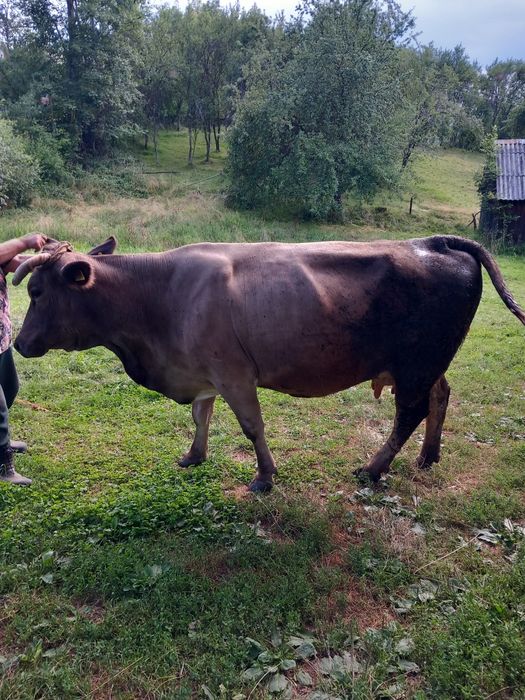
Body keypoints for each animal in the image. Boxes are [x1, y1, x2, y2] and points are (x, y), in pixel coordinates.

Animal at [12, 234, 525, 492]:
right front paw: (194, 455)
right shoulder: (204, 372)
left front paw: (264, 476)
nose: (18, 344)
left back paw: (374, 468)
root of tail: (436, 241)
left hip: (415, 363)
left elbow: (250, 426)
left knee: (410, 412)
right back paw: (428, 456)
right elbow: (201, 415)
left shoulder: (234, 373)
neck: (159, 295)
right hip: (427, 363)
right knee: (440, 396)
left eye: (36, 292)